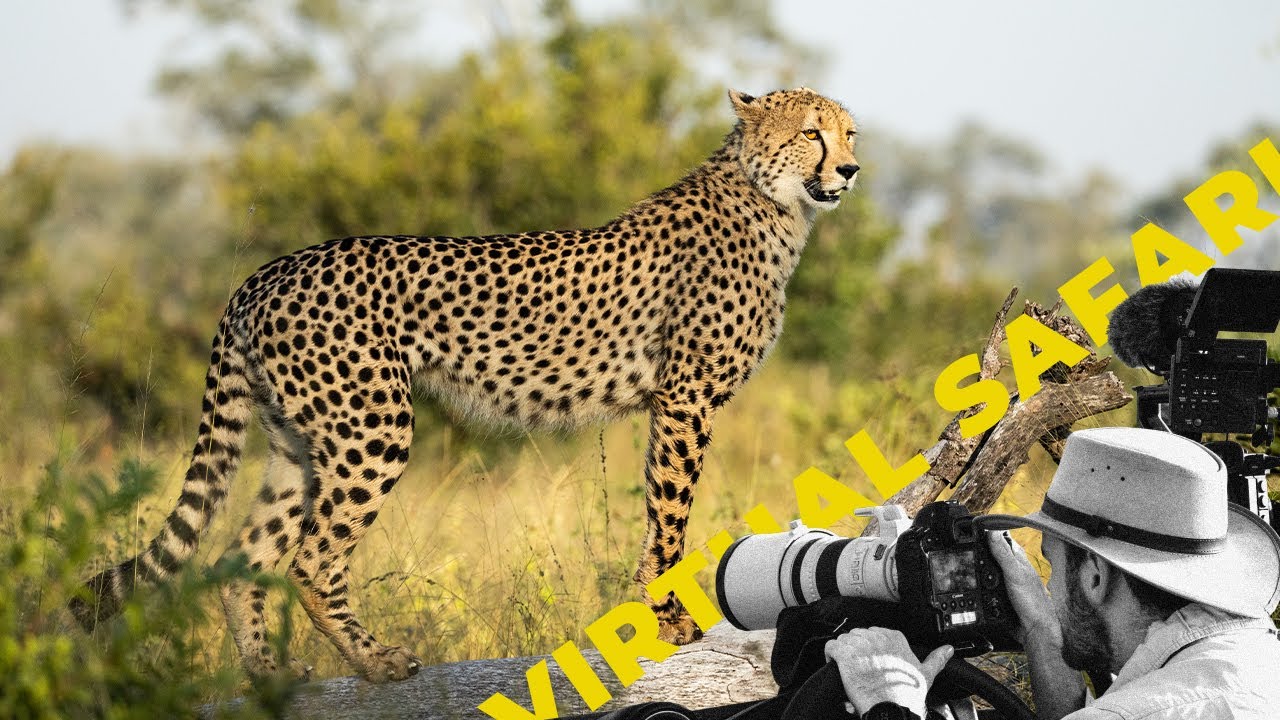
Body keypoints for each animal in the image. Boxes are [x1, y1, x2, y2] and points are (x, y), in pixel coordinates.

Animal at [70, 87, 860, 683]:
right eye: (811, 134)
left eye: (848, 133)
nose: (851, 170)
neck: (772, 202)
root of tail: (269, 270)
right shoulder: (685, 397)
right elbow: (669, 517)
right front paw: (669, 620)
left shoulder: (676, 400)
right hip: (372, 429)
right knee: (312, 561)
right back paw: (377, 662)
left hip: (296, 444)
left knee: (241, 561)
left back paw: (271, 677)